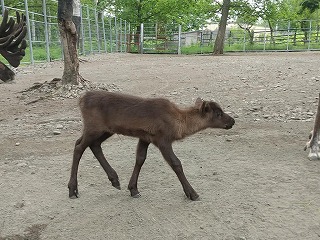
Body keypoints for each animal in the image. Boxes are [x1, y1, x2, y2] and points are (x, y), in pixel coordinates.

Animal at [68, 91, 235, 200]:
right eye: (218, 113)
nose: (232, 121)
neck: (179, 123)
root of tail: (81, 99)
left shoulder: (145, 137)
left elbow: (140, 159)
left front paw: (133, 189)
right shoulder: (163, 139)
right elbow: (176, 163)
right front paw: (192, 193)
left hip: (106, 130)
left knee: (92, 144)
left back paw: (114, 180)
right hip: (94, 127)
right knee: (79, 147)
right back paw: (72, 190)